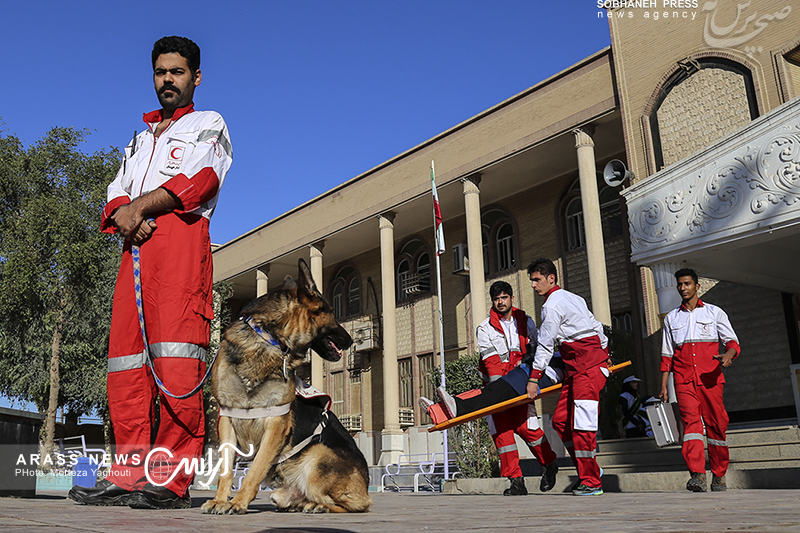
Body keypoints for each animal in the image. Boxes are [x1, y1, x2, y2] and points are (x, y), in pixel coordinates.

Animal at [202, 260, 374, 512]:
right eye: (332, 313)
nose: (351, 340)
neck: (268, 339)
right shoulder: (227, 419)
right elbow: (225, 470)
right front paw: (220, 500)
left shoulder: (275, 423)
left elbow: (255, 469)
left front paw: (238, 502)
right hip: (281, 493)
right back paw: (300, 504)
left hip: (318, 454)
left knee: (359, 504)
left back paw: (318, 506)